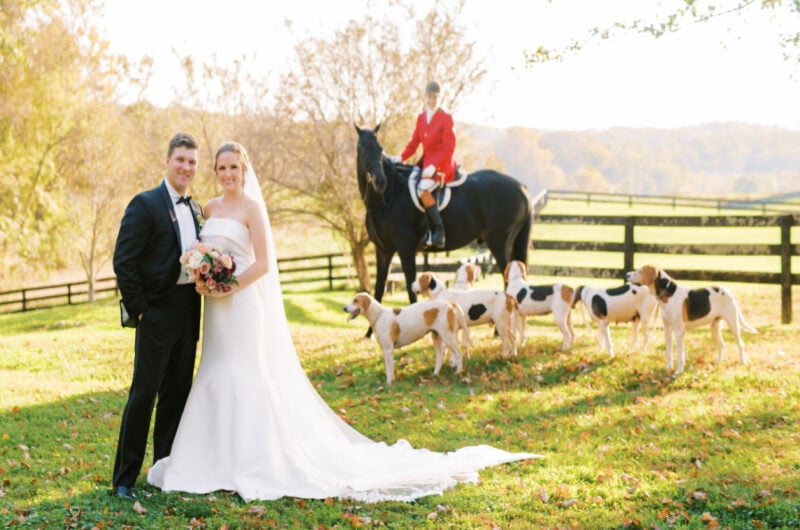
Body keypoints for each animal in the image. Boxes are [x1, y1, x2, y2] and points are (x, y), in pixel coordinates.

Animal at [354, 124, 532, 306]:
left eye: (380, 149)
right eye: (361, 148)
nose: (380, 182)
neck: (390, 196)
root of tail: (520, 186)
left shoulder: (406, 248)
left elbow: (411, 290)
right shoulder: (383, 250)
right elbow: (378, 290)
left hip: (499, 242)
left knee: (508, 280)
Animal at [624, 262, 756, 372]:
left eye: (640, 271)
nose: (627, 274)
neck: (668, 294)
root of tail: (729, 292)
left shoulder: (679, 332)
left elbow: (680, 354)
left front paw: (678, 371)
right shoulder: (667, 330)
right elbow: (668, 352)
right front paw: (668, 368)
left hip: (733, 324)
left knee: (741, 344)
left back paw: (743, 363)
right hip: (714, 327)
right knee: (722, 345)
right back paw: (718, 362)